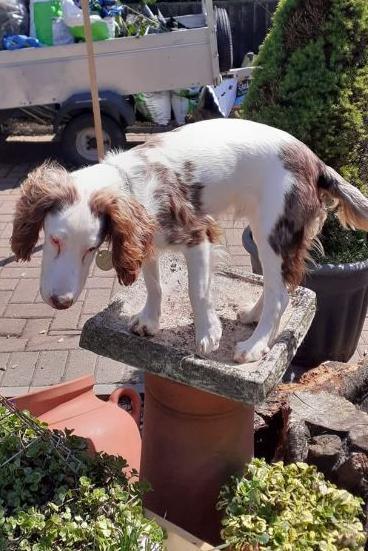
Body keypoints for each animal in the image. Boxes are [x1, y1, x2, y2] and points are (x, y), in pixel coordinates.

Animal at [10, 118, 368, 364]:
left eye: (90, 249)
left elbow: (198, 291)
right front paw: (149, 321)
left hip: (272, 232)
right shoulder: (145, 240)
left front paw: (208, 333)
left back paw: (254, 346)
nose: (61, 302)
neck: (129, 184)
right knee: (276, 285)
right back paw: (252, 316)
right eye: (54, 240)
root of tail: (317, 164)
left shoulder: (199, 235)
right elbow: (154, 285)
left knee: (280, 294)